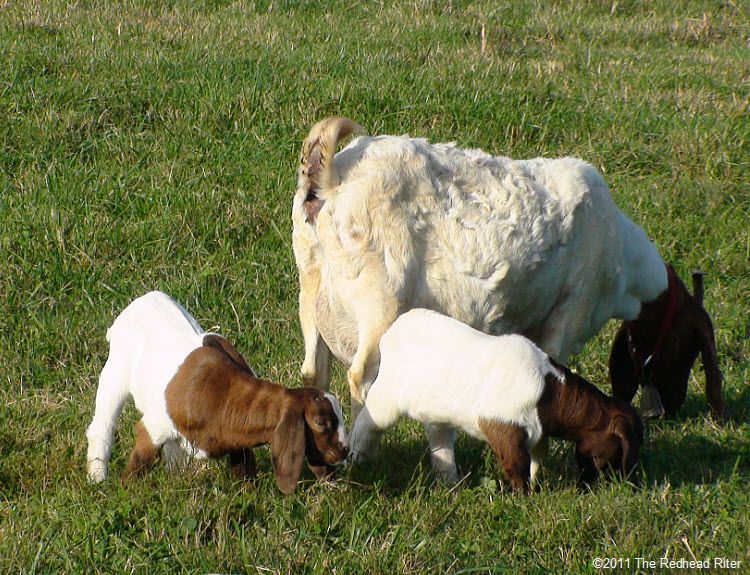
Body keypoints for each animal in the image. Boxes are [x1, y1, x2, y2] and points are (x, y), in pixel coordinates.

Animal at [88, 292, 350, 496]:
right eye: (321, 423)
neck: (221, 396)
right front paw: (125, 490)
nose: (345, 450)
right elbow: (139, 461)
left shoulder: (237, 439)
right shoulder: (154, 426)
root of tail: (140, 302)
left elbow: (243, 471)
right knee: (102, 425)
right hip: (116, 370)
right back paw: (96, 477)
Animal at [292, 118, 724, 424]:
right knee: (361, 375)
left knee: (314, 370)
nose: (670, 409)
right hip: (379, 298)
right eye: (688, 351)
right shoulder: (570, 309)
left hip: (312, 289)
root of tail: (331, 179)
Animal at [350, 310, 644, 496]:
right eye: (616, 451)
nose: (618, 485)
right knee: (366, 422)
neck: (547, 392)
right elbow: (516, 464)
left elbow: (537, 456)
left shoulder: (536, 432)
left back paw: (450, 483)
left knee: (440, 442)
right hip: (387, 395)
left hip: (435, 411)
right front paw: (522, 498)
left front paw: (537, 484)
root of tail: (394, 329)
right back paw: (356, 456)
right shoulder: (503, 427)